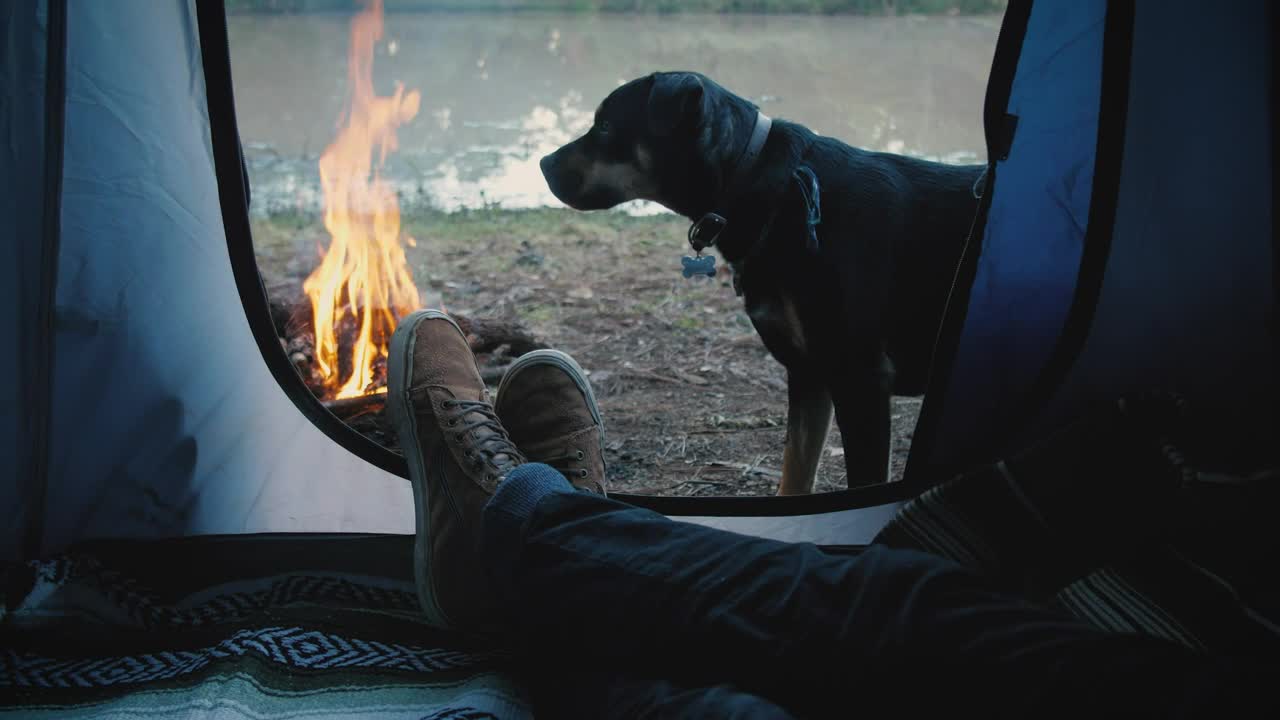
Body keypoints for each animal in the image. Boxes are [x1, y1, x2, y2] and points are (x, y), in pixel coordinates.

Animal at [537, 70, 977, 489]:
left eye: (606, 126)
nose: (543, 163)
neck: (769, 190)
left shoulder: (860, 378)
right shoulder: (809, 374)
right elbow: (793, 477)